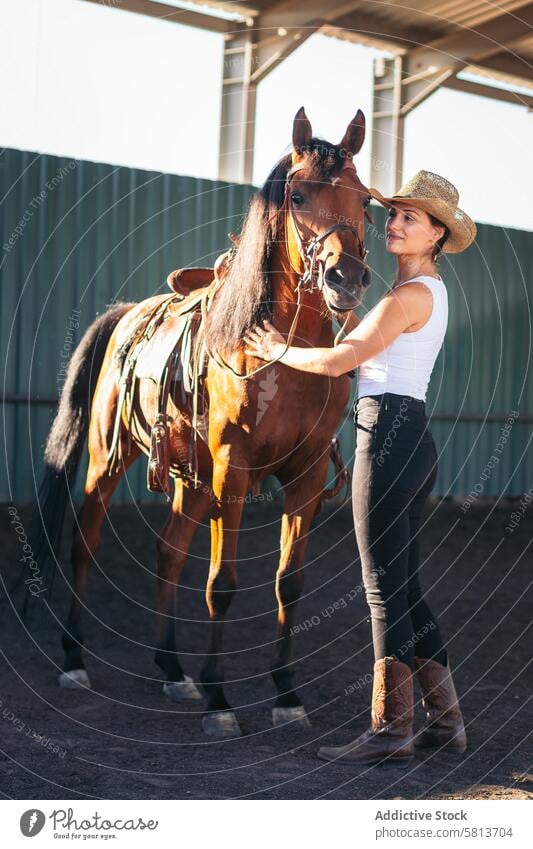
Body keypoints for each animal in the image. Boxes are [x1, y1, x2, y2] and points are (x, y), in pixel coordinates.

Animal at [30, 107, 370, 736]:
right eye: (300, 195)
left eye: (364, 200)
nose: (346, 278)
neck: (283, 354)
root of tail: (126, 314)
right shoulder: (232, 471)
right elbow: (222, 584)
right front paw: (219, 699)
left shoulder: (306, 476)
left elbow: (289, 583)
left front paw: (286, 693)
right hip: (107, 458)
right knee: (85, 545)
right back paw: (74, 658)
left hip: (189, 477)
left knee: (169, 550)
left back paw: (171, 669)